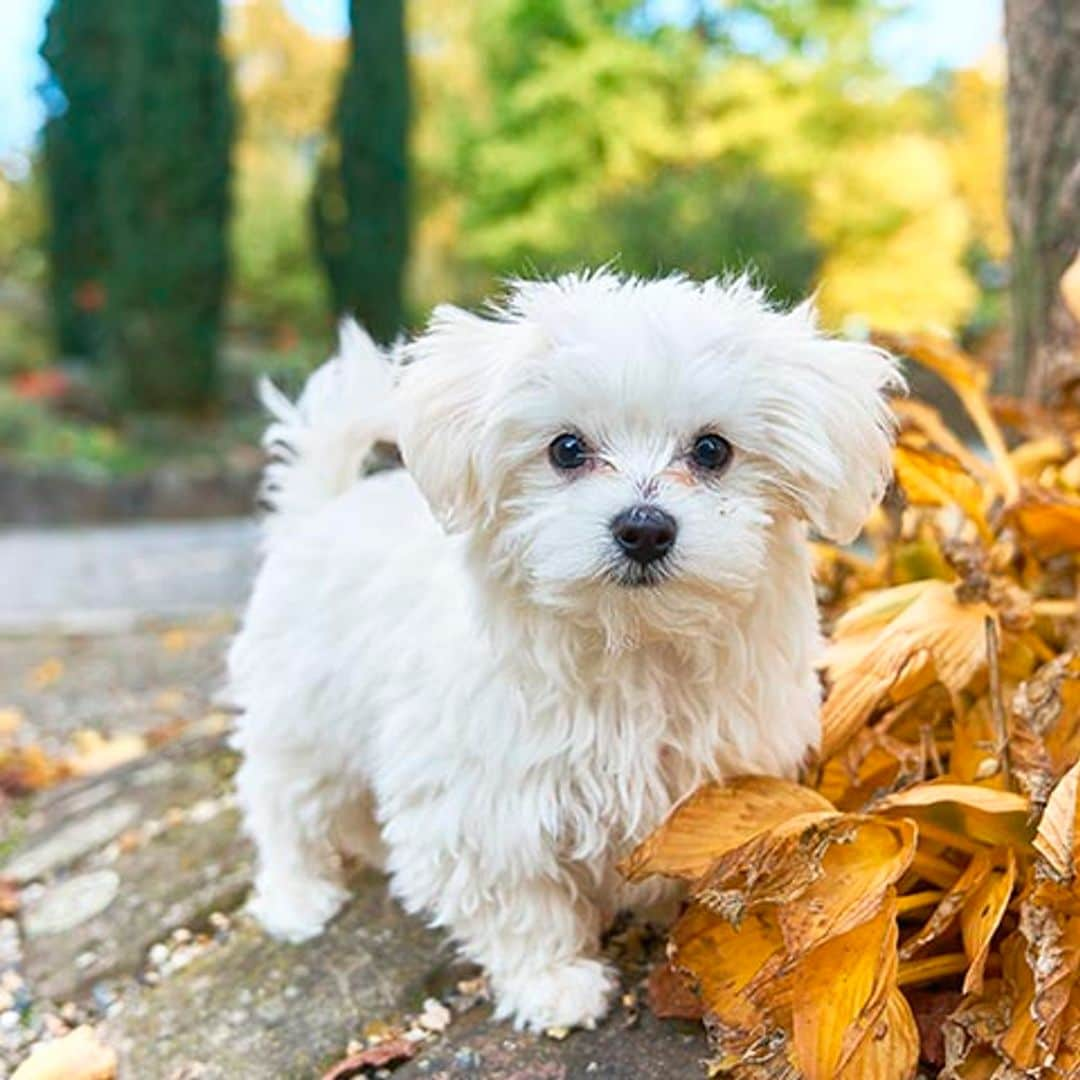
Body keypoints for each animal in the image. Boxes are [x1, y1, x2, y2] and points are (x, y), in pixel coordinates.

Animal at [230, 270, 902, 1028]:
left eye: (712, 451)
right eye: (567, 449)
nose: (645, 528)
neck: (632, 647)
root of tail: (321, 509)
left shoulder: (717, 781)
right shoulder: (485, 803)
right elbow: (520, 900)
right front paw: (552, 983)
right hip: (302, 718)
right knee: (281, 802)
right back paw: (296, 897)